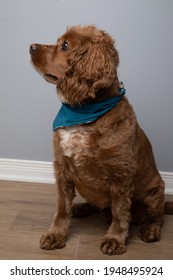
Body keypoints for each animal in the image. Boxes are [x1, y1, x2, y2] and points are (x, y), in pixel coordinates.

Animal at [30, 25, 173, 255]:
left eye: (65, 46)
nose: (31, 46)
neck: (84, 113)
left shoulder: (120, 175)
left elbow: (120, 212)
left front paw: (114, 239)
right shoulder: (62, 169)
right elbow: (61, 208)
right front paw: (55, 234)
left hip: (154, 192)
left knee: (157, 217)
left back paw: (150, 230)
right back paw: (80, 208)